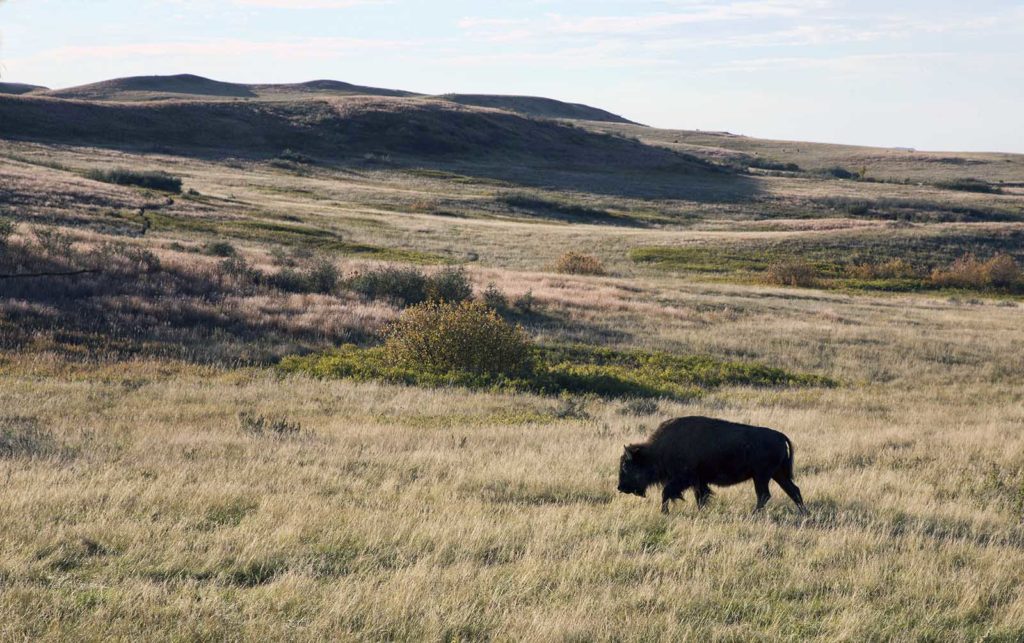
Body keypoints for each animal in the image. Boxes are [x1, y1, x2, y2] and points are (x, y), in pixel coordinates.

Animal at [614, 417, 806, 518]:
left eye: (626, 466)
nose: (620, 487)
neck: (658, 450)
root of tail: (780, 436)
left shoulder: (683, 479)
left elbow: (666, 492)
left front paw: (664, 512)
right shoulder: (698, 481)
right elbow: (701, 496)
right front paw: (701, 511)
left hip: (761, 476)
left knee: (764, 495)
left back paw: (753, 514)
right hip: (776, 474)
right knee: (793, 490)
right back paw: (805, 513)